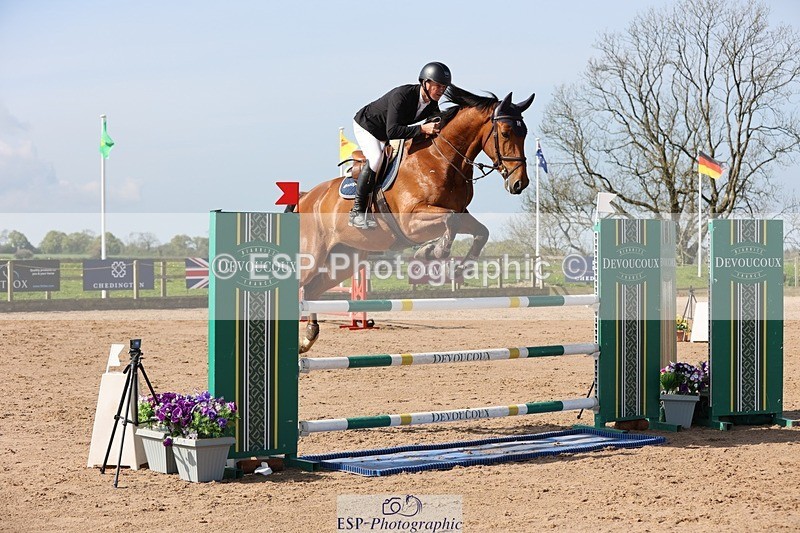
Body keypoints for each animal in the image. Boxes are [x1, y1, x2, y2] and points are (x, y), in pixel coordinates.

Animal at [295, 85, 534, 352]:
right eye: (505, 133)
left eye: (524, 133)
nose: (519, 183)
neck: (440, 158)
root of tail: (306, 197)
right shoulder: (411, 222)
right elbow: (449, 223)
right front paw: (431, 252)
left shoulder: (461, 214)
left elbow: (481, 232)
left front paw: (458, 269)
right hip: (312, 256)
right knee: (299, 285)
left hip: (345, 260)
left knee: (312, 290)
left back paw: (308, 338)